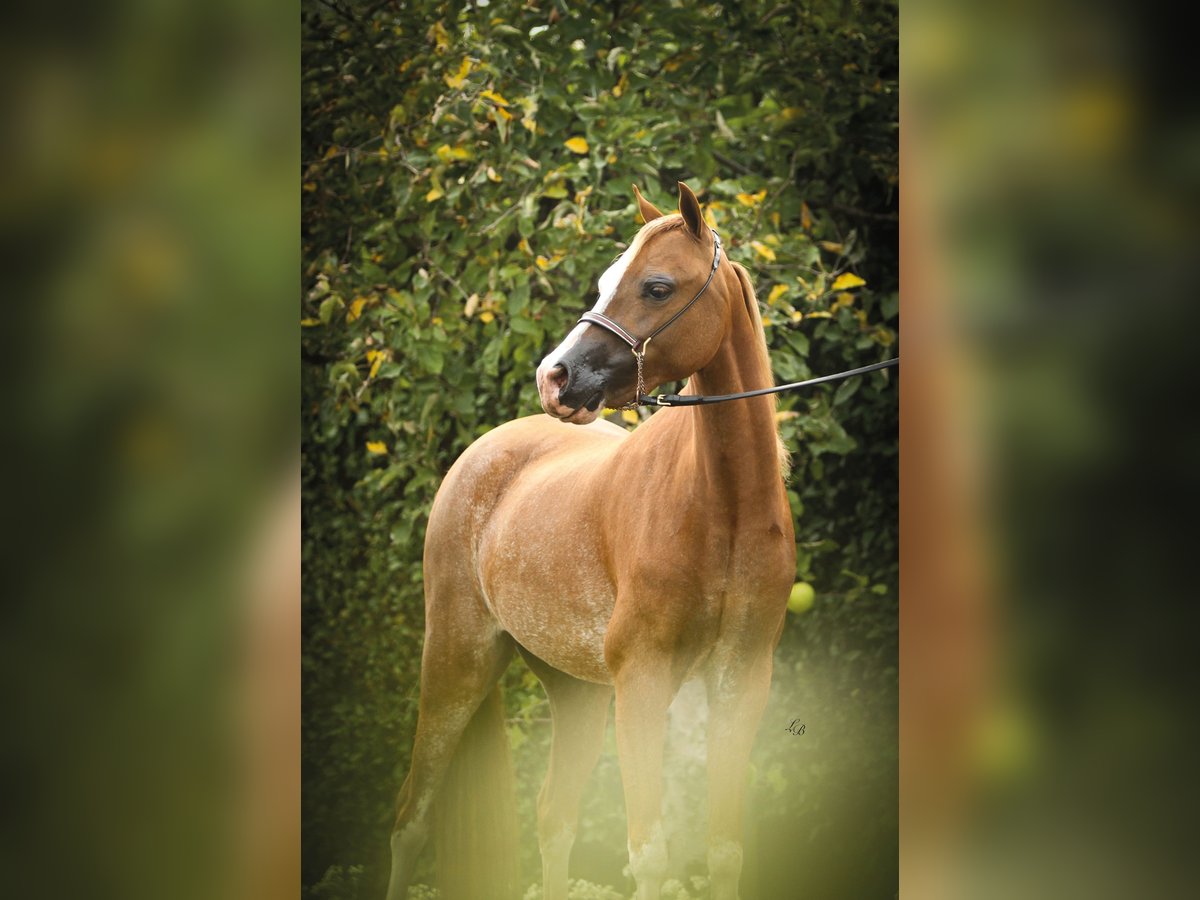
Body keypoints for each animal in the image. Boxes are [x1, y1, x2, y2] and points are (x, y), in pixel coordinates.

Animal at [386, 183, 796, 900]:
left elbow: (722, 854)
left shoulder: (739, 682)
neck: (724, 510)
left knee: (554, 817)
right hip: (456, 662)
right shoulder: (643, 682)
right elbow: (652, 856)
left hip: (575, 691)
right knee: (411, 819)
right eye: (606, 281)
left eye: (657, 286)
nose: (555, 378)